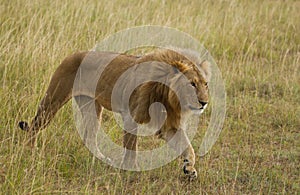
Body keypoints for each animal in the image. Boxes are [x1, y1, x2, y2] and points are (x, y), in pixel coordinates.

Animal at [18, 48, 211, 179]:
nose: (204, 103)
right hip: (53, 100)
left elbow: (188, 148)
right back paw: (30, 151)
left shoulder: (169, 126)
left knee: (89, 137)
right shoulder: (130, 116)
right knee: (34, 126)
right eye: (192, 84)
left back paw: (102, 160)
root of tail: (73, 53)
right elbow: (131, 146)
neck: (168, 94)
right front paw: (132, 169)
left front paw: (189, 169)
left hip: (91, 108)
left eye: (205, 84)